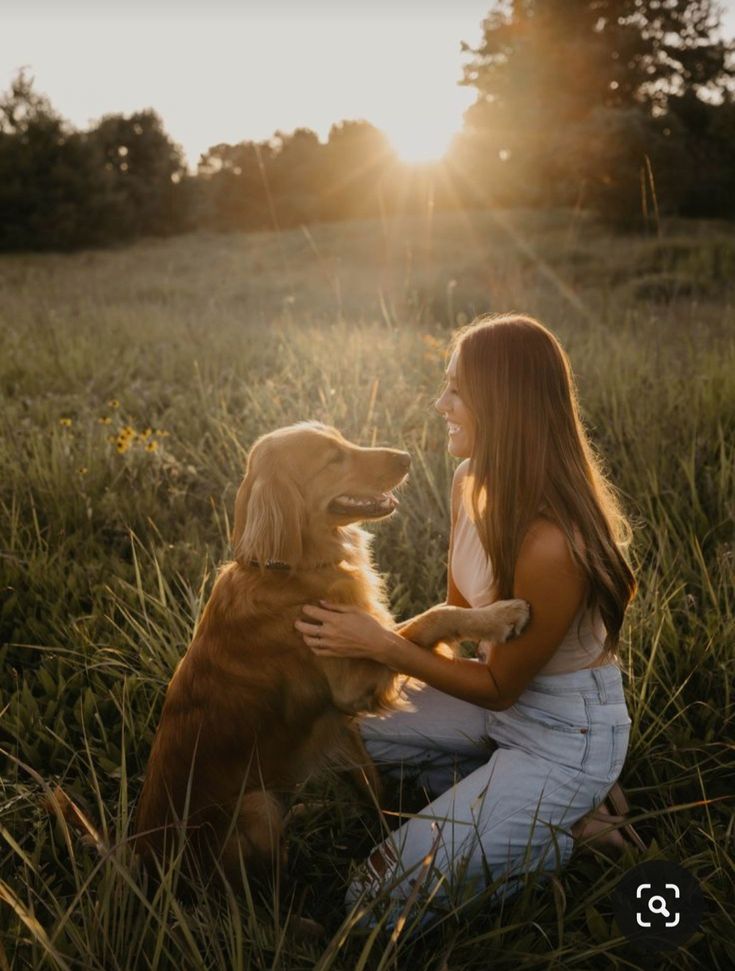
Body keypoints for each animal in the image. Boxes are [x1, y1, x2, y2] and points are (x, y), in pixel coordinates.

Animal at [134, 422, 528, 892]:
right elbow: (431, 618)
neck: (293, 568)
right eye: (333, 459)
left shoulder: (341, 717)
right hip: (255, 807)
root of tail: (146, 867)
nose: (405, 458)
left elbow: (371, 785)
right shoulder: (349, 684)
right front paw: (500, 616)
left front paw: (385, 822)